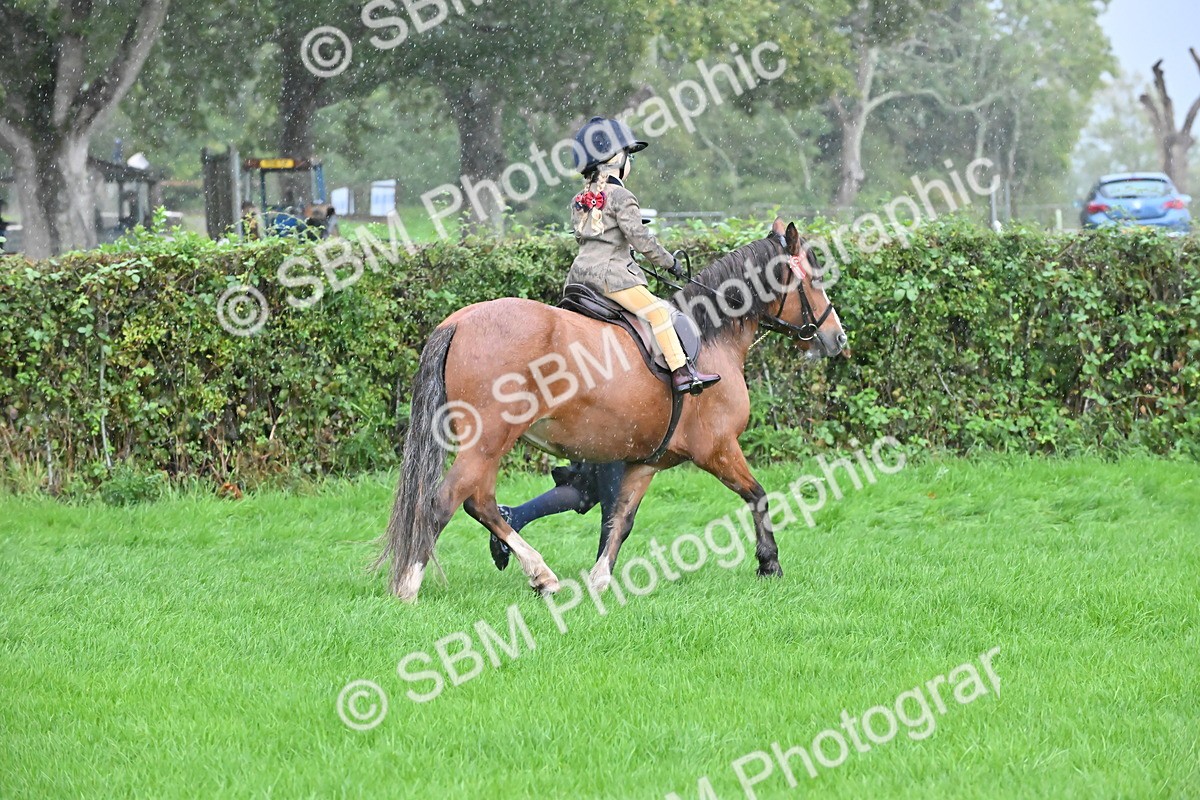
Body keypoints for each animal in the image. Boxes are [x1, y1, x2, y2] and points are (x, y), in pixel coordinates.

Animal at [375, 219, 847, 602]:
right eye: (814, 279)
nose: (838, 338)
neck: (711, 335)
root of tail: (459, 320)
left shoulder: (645, 462)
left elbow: (620, 520)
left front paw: (600, 579)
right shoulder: (718, 449)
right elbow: (758, 495)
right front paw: (769, 563)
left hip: (488, 445)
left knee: (482, 503)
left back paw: (542, 576)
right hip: (489, 440)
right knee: (444, 502)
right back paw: (410, 586)